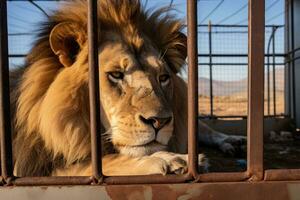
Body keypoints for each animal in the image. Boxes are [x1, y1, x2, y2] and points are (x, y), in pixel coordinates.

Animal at [11, 0, 246, 176]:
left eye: (163, 77)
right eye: (116, 74)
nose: (159, 121)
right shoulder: (41, 168)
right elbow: (104, 161)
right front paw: (172, 159)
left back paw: (232, 141)